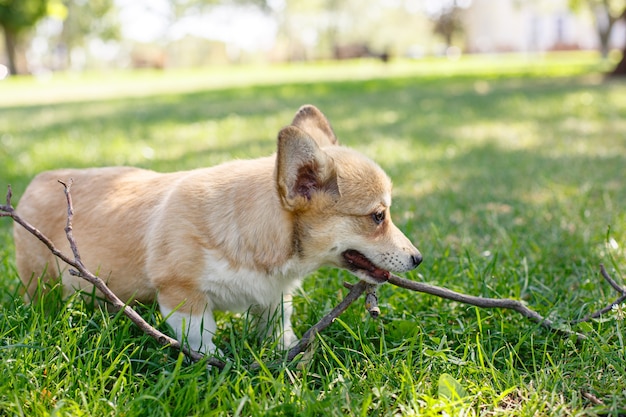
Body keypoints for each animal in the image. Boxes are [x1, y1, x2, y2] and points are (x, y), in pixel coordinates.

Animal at [14, 105, 422, 354]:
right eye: (378, 216)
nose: (418, 259)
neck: (256, 234)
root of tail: (38, 180)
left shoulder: (272, 297)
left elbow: (279, 327)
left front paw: (286, 352)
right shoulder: (182, 294)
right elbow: (202, 338)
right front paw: (216, 365)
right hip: (41, 281)